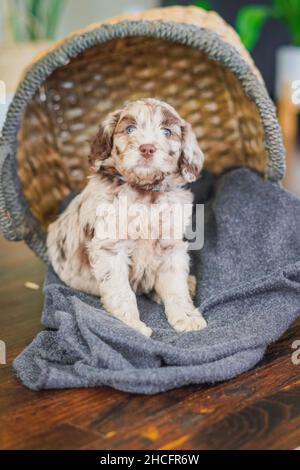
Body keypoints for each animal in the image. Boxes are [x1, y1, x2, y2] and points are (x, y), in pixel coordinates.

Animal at [47, 98, 206, 338]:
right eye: (130, 129)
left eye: (167, 132)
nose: (147, 148)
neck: (145, 193)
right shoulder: (111, 248)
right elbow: (121, 291)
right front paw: (130, 325)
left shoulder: (171, 247)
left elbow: (175, 286)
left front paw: (186, 317)